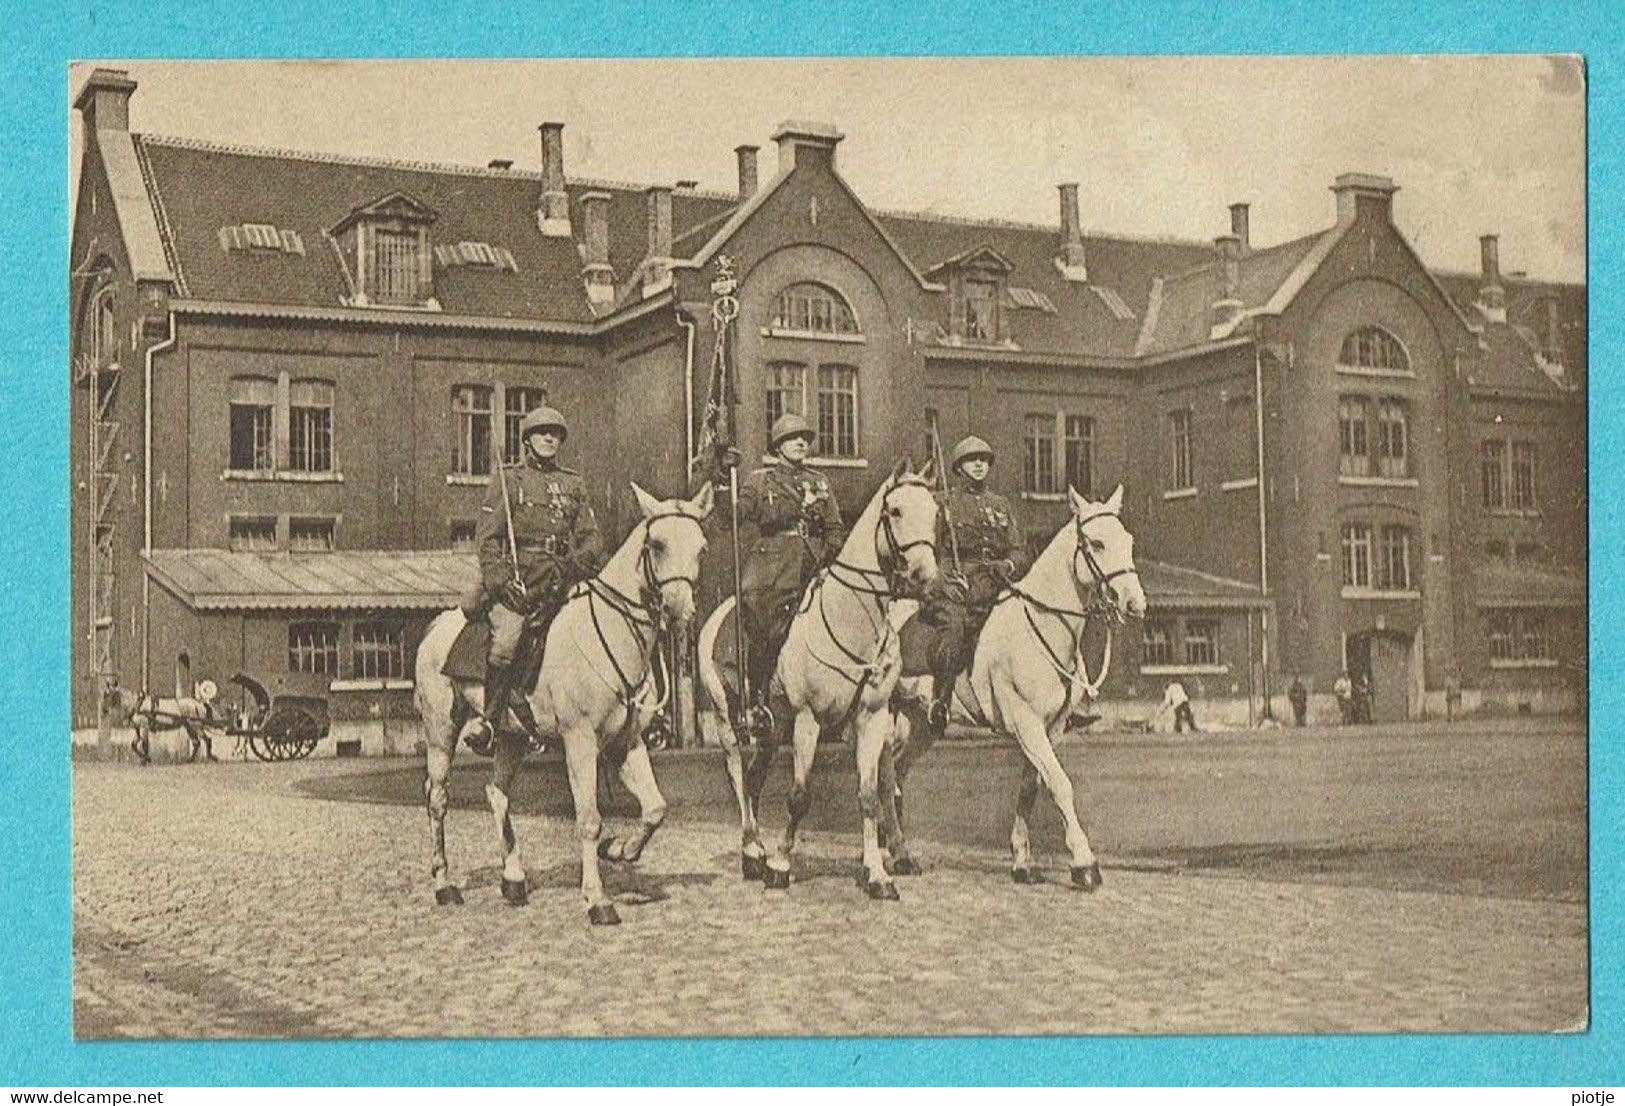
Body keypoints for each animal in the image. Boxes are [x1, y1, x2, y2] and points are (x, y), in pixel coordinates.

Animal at [412, 483, 711, 922]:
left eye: (701, 547)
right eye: (657, 544)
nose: (679, 610)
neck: (609, 630)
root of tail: (437, 624)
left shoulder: (626, 743)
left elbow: (656, 808)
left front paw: (620, 850)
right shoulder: (579, 741)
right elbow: (588, 819)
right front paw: (597, 899)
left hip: (512, 737)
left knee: (497, 793)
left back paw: (514, 878)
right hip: (440, 732)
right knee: (437, 801)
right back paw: (444, 884)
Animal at [698, 457, 942, 896]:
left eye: (934, 513)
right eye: (896, 511)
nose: (924, 577)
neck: (850, 616)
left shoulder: (871, 717)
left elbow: (869, 794)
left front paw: (877, 874)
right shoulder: (808, 719)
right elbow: (798, 796)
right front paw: (780, 864)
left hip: (774, 726)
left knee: (755, 776)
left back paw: (757, 852)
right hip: (728, 719)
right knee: (738, 775)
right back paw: (752, 850)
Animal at [884, 483, 1150, 889]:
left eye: (1128, 541)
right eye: (1097, 543)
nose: (1135, 604)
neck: (1042, 626)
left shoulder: (1049, 728)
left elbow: (1030, 788)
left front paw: (1022, 862)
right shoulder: (1026, 723)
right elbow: (1060, 784)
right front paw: (1084, 863)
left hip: (920, 723)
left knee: (896, 773)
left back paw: (898, 853)